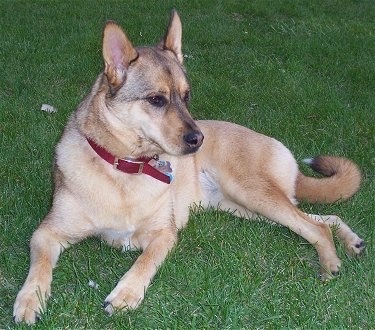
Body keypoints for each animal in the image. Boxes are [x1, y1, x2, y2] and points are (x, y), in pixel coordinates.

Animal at [13, 10, 366, 324]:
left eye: (186, 96)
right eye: (156, 99)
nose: (199, 139)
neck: (125, 169)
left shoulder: (163, 234)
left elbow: (144, 262)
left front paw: (126, 294)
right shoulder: (47, 232)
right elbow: (39, 265)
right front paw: (29, 300)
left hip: (253, 193)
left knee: (315, 226)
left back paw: (330, 261)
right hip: (248, 206)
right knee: (322, 218)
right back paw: (351, 242)